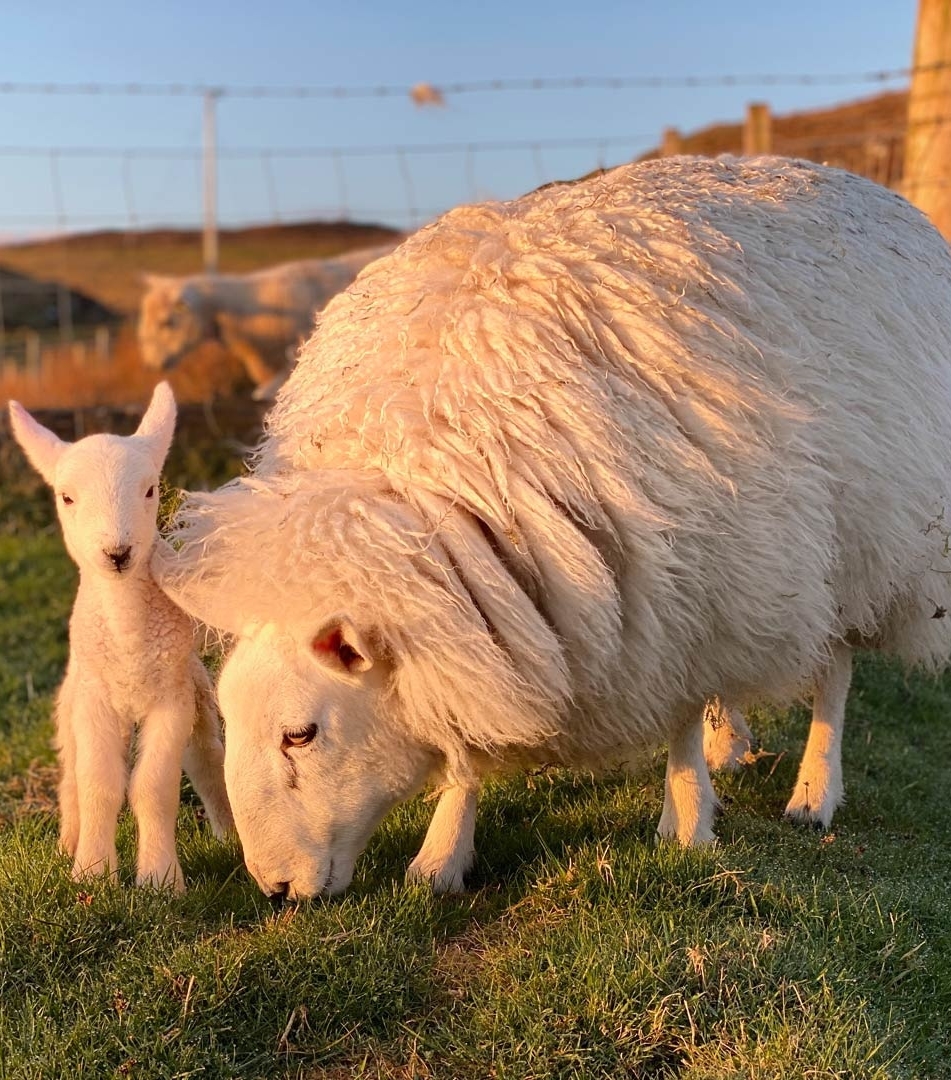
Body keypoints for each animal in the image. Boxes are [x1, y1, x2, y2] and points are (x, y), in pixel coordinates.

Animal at [9, 383, 234, 890]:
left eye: (150, 489)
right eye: (67, 498)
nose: (117, 553)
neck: (130, 640)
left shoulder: (171, 700)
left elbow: (154, 787)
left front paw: (161, 879)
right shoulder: (95, 701)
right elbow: (99, 785)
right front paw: (92, 873)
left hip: (196, 692)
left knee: (207, 760)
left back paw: (231, 835)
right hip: (72, 699)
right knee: (71, 773)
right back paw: (68, 842)